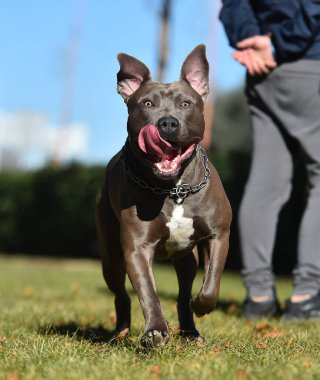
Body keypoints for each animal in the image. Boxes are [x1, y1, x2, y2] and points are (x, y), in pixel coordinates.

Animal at [96, 44, 231, 348]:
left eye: (186, 104)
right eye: (147, 104)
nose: (167, 123)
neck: (173, 189)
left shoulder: (218, 234)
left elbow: (212, 284)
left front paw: (200, 305)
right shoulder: (136, 248)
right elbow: (148, 292)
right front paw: (155, 331)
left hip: (186, 259)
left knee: (183, 295)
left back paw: (191, 330)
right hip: (110, 256)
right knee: (121, 294)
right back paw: (121, 331)